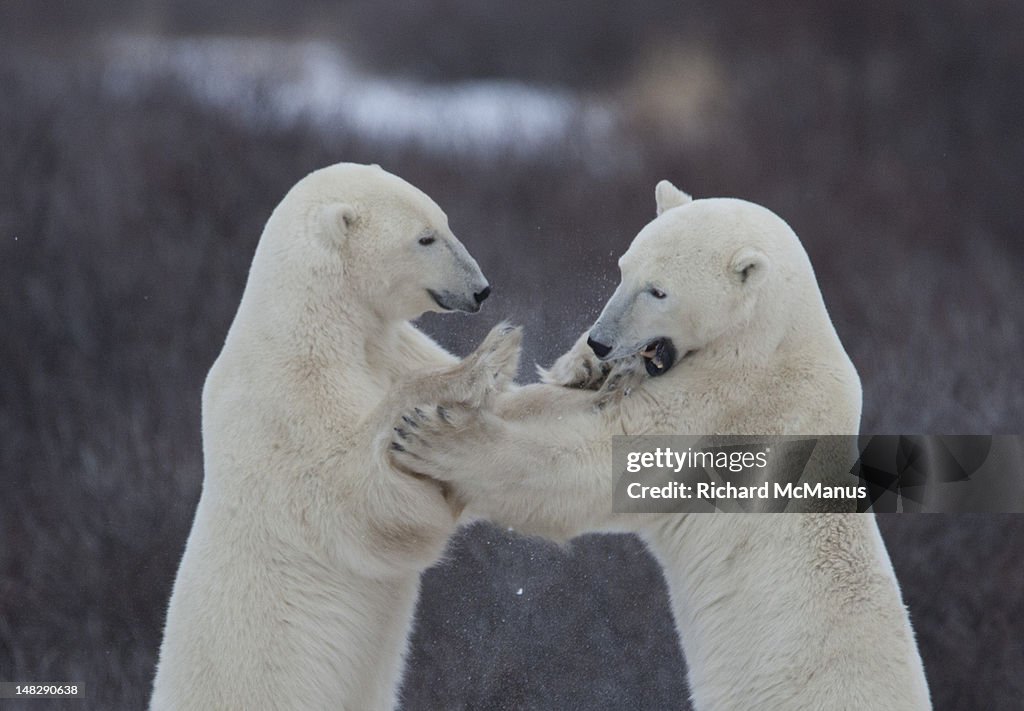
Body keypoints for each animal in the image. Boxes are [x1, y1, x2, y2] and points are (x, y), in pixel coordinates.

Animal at [148, 162, 524, 711]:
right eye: (425, 237)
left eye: (444, 222)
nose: (481, 290)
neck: (317, 321)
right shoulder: (286, 400)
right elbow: (348, 489)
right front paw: (477, 368)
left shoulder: (389, 346)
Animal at [387, 185, 933, 711]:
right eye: (624, 268)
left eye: (659, 291)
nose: (602, 341)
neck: (772, 342)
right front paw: (582, 368)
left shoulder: (728, 409)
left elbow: (602, 462)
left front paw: (431, 435)